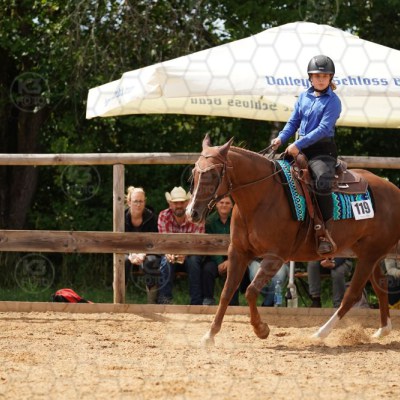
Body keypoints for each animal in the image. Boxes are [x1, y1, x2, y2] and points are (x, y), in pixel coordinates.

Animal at [186, 134, 400, 346]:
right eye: (194, 172)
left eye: (214, 174)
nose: (192, 212)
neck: (262, 196)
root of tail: (394, 190)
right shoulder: (238, 252)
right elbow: (227, 292)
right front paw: (209, 335)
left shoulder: (275, 256)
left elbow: (251, 291)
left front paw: (261, 329)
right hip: (368, 253)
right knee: (381, 285)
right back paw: (382, 330)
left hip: (370, 255)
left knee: (352, 295)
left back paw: (319, 334)